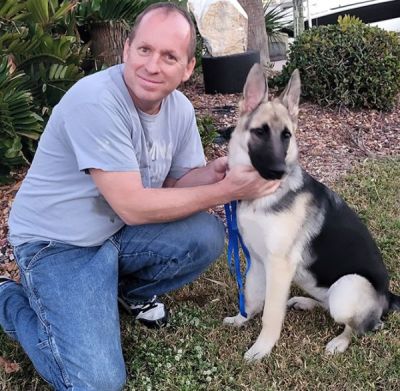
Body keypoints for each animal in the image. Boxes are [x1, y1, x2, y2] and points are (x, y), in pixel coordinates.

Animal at [223, 63, 398, 362]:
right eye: (260, 132)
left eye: (287, 136)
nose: (280, 171)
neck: (264, 196)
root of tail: (388, 298)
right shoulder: (256, 260)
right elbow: (252, 296)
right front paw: (241, 319)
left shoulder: (278, 266)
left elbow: (271, 312)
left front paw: (262, 347)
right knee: (326, 305)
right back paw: (306, 302)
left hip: (346, 288)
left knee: (357, 326)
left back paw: (340, 341)